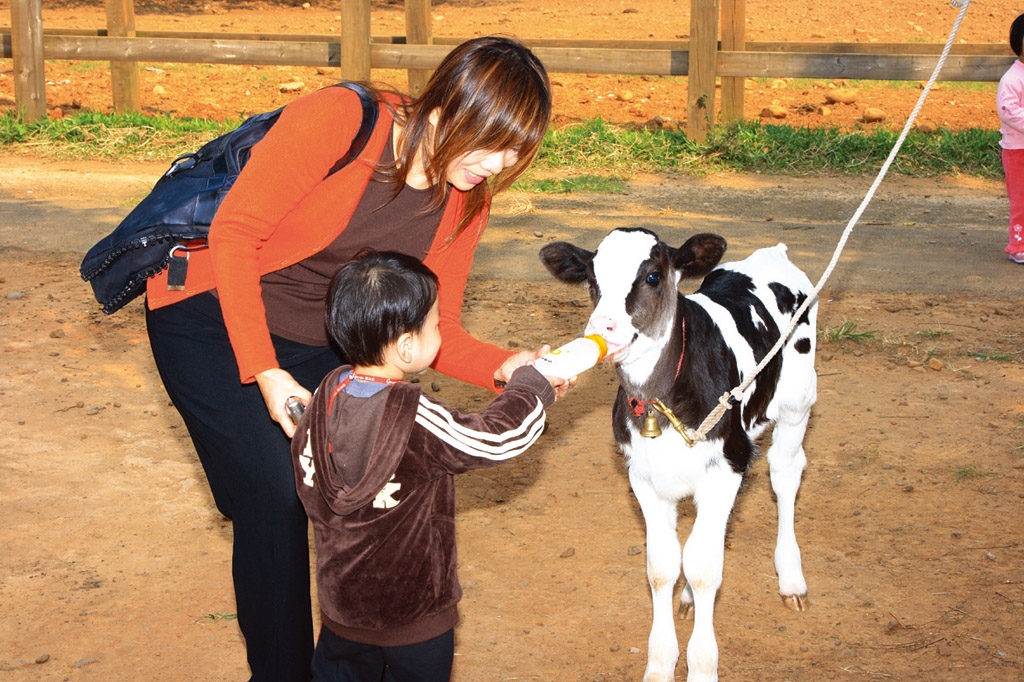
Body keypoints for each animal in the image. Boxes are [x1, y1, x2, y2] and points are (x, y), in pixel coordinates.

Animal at [536, 228, 815, 679]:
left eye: (652, 276)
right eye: (592, 281)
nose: (603, 328)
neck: (660, 399)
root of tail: (772, 254)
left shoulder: (729, 464)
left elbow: (703, 569)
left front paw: (702, 666)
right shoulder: (643, 477)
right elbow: (663, 566)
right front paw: (660, 663)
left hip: (797, 404)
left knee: (785, 474)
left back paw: (791, 578)